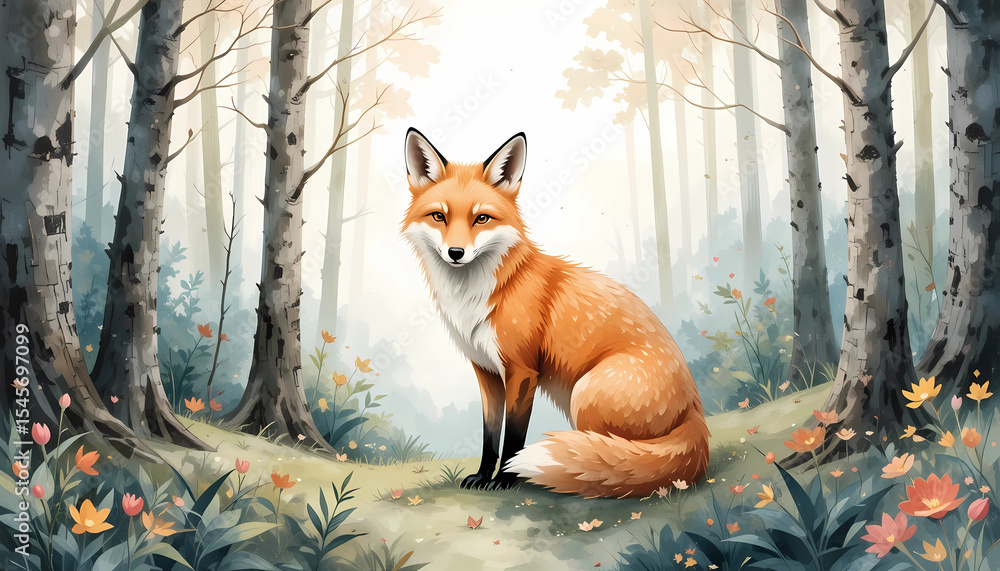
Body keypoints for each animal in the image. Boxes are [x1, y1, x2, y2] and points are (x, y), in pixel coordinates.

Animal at [401, 127, 710, 498]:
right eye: (439, 216)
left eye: (481, 218)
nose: (456, 252)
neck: (478, 296)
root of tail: (695, 411)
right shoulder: (486, 372)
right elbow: (490, 435)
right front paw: (482, 476)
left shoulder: (522, 372)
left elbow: (513, 438)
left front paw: (505, 479)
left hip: (585, 394)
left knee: (614, 455)